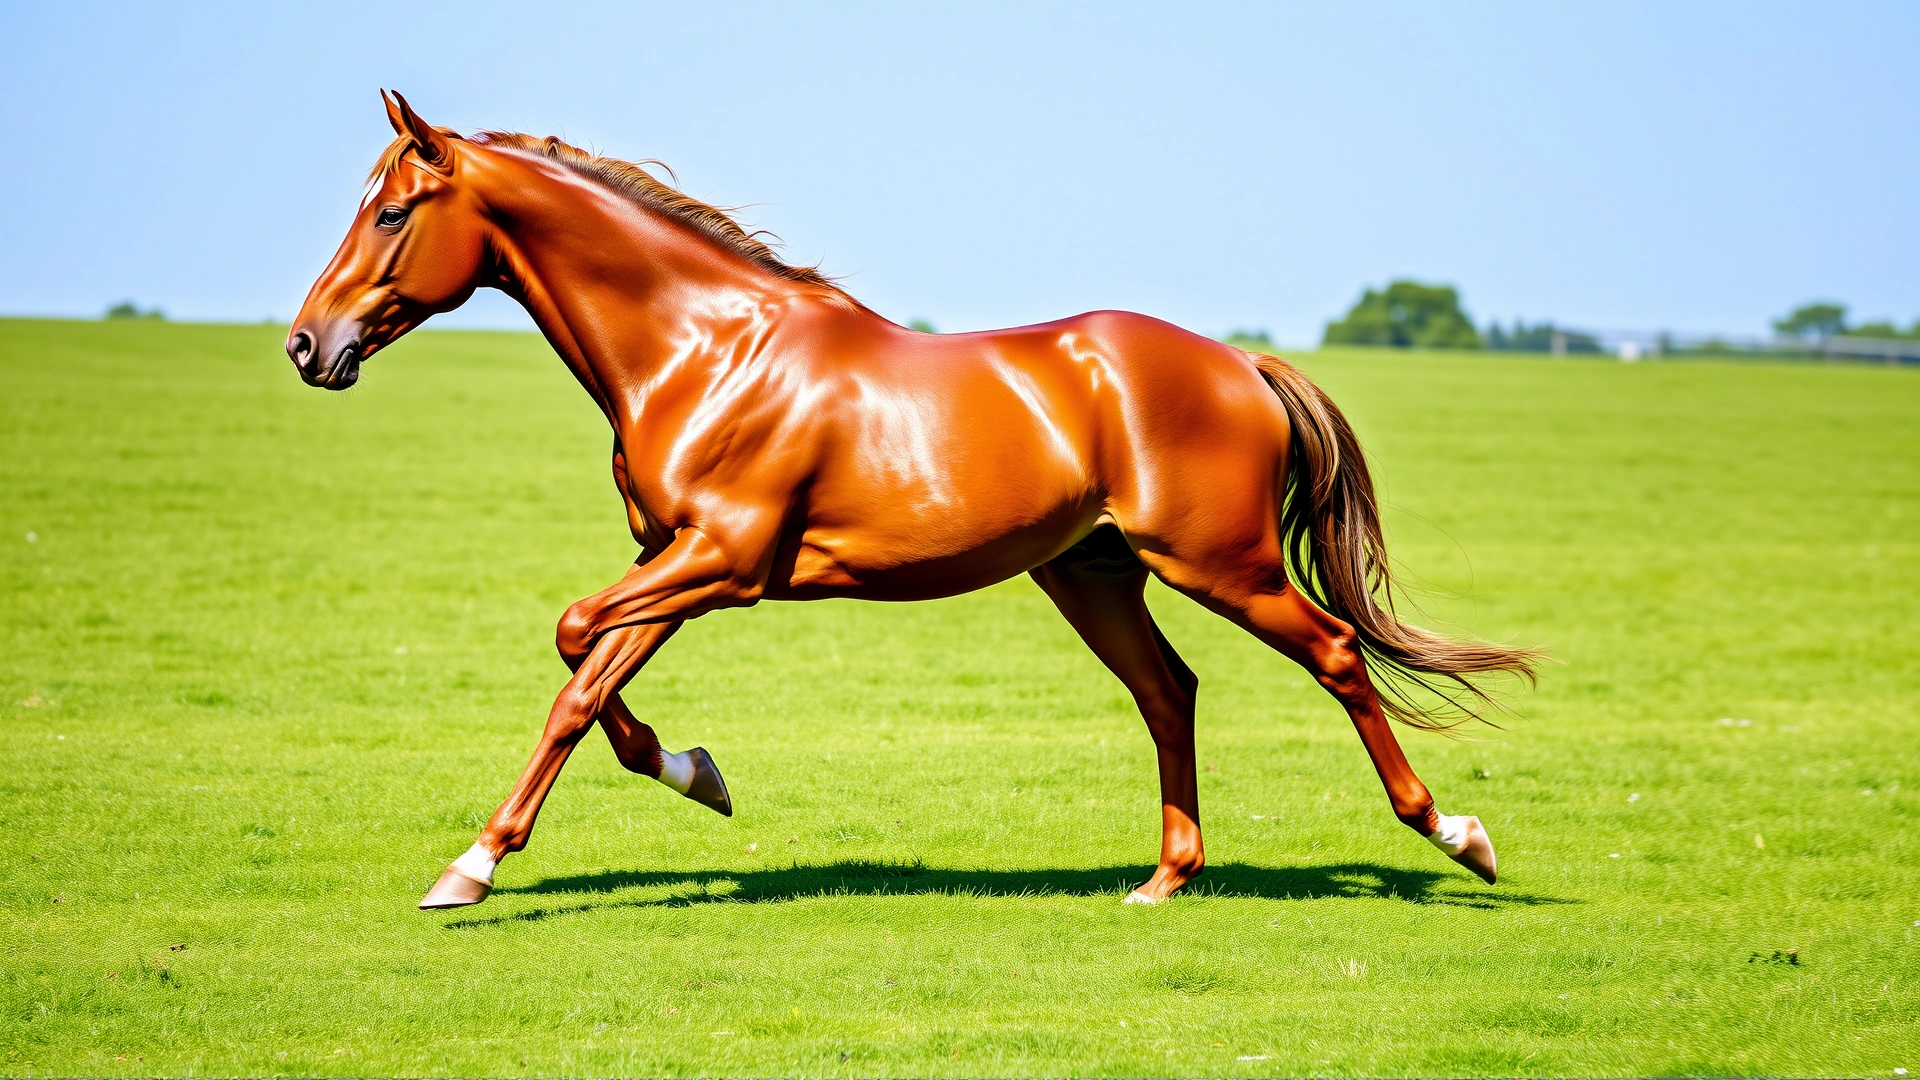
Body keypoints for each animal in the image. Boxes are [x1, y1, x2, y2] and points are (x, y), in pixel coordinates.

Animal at [288, 92, 1536, 910]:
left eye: (392, 215)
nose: (308, 345)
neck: (703, 351)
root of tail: (1242, 365)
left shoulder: (721, 563)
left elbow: (572, 644)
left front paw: (640, 797)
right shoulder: (674, 564)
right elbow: (583, 690)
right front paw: (540, 839)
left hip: (1221, 565)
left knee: (1334, 655)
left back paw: (1458, 836)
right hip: (1092, 573)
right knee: (1168, 690)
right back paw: (1164, 879)